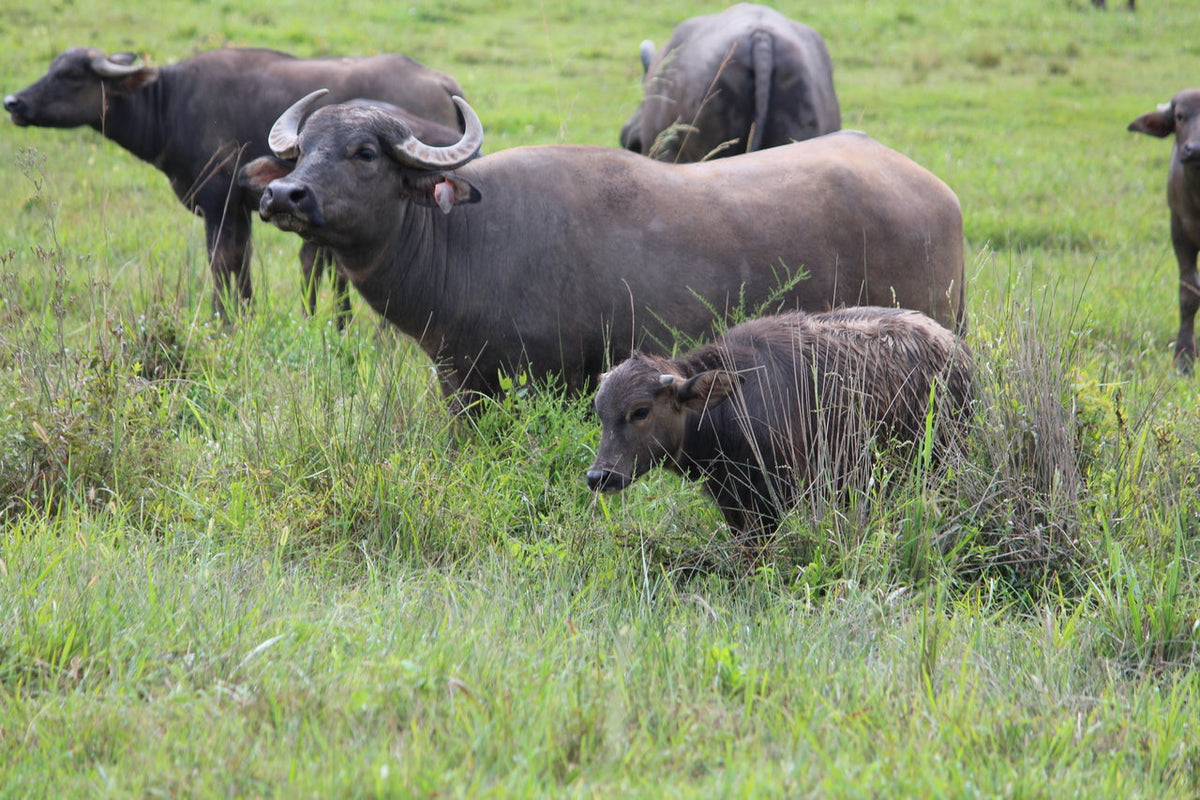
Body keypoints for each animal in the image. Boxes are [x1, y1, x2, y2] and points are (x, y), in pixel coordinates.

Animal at [4, 46, 467, 323]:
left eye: (70, 75)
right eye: (51, 68)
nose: (13, 102)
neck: (168, 104)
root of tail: (439, 80)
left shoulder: (218, 203)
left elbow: (221, 260)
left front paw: (223, 320)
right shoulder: (242, 209)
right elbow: (241, 263)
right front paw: (245, 313)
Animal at [239, 92, 964, 412]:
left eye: (364, 153)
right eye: (302, 152)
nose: (284, 195)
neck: (466, 237)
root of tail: (938, 194)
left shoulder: (550, 377)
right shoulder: (460, 379)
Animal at [586, 307, 974, 543]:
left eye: (640, 411)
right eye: (600, 411)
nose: (599, 476)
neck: (734, 405)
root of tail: (955, 348)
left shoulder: (777, 496)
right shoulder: (732, 502)